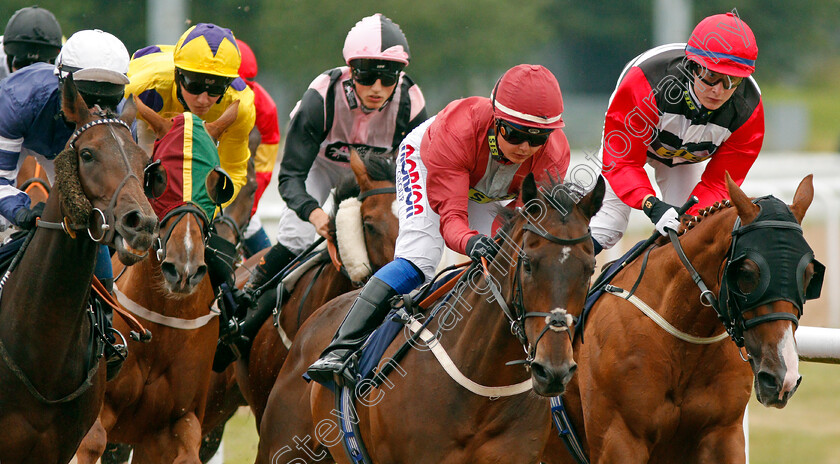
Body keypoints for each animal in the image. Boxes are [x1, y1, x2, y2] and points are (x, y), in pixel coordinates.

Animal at [74, 98, 243, 464]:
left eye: (218, 183)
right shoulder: (99, 414)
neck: (165, 317)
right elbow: (90, 439)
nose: (184, 269)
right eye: (158, 176)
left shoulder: (174, 424)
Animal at [540, 174, 824, 464]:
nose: (782, 377)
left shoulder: (724, 435)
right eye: (746, 272)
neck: (685, 345)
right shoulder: (619, 440)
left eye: (809, 274)